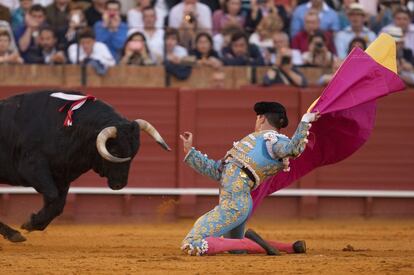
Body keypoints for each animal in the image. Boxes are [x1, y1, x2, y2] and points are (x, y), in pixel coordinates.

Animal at [0, 90, 170, 242]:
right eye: (114, 151)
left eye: (134, 152)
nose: (120, 184)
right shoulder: (32, 168)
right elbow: (52, 195)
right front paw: (31, 222)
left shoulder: (62, 176)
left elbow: (58, 205)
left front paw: (33, 224)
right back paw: (13, 234)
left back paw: (13, 234)